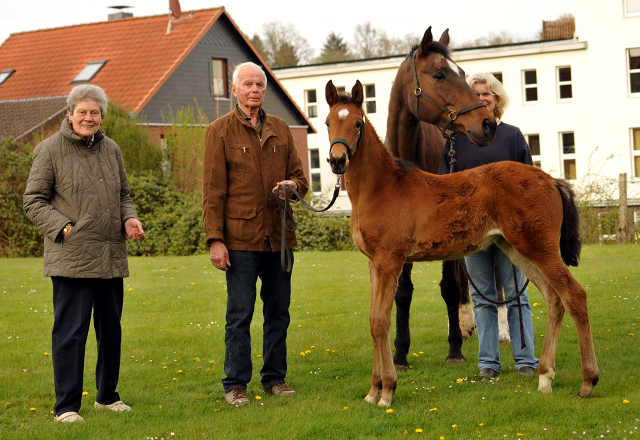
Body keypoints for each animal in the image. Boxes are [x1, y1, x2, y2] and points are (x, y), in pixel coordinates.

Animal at [328, 80, 596, 410]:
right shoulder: (373, 265)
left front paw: (388, 390)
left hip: (539, 248)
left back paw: (588, 382)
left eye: (357, 123)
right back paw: (545, 377)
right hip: (518, 250)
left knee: (574, 295)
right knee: (554, 299)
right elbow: (372, 321)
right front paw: (373, 390)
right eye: (327, 123)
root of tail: (550, 180)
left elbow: (380, 321)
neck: (382, 187)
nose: (337, 160)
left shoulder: (389, 262)